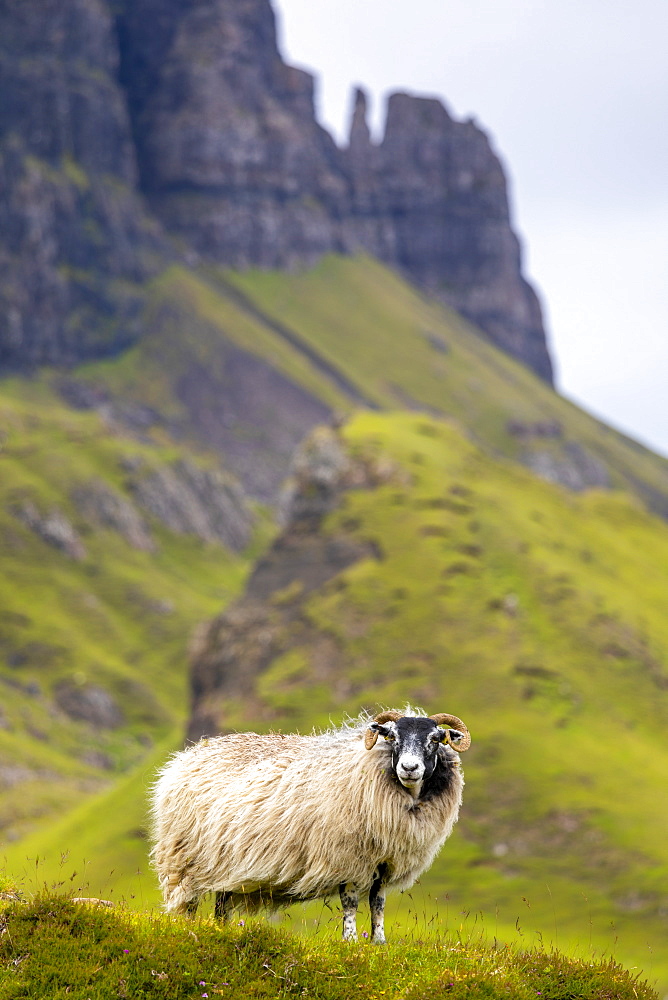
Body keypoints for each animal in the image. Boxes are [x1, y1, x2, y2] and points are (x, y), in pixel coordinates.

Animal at [150, 708, 470, 940]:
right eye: (392, 737)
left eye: (435, 739)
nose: (409, 768)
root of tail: (188, 754)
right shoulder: (346, 858)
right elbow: (350, 904)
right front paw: (350, 942)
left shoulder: (384, 862)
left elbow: (377, 905)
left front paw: (378, 943)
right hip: (183, 859)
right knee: (186, 905)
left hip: (224, 866)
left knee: (221, 907)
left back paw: (221, 931)